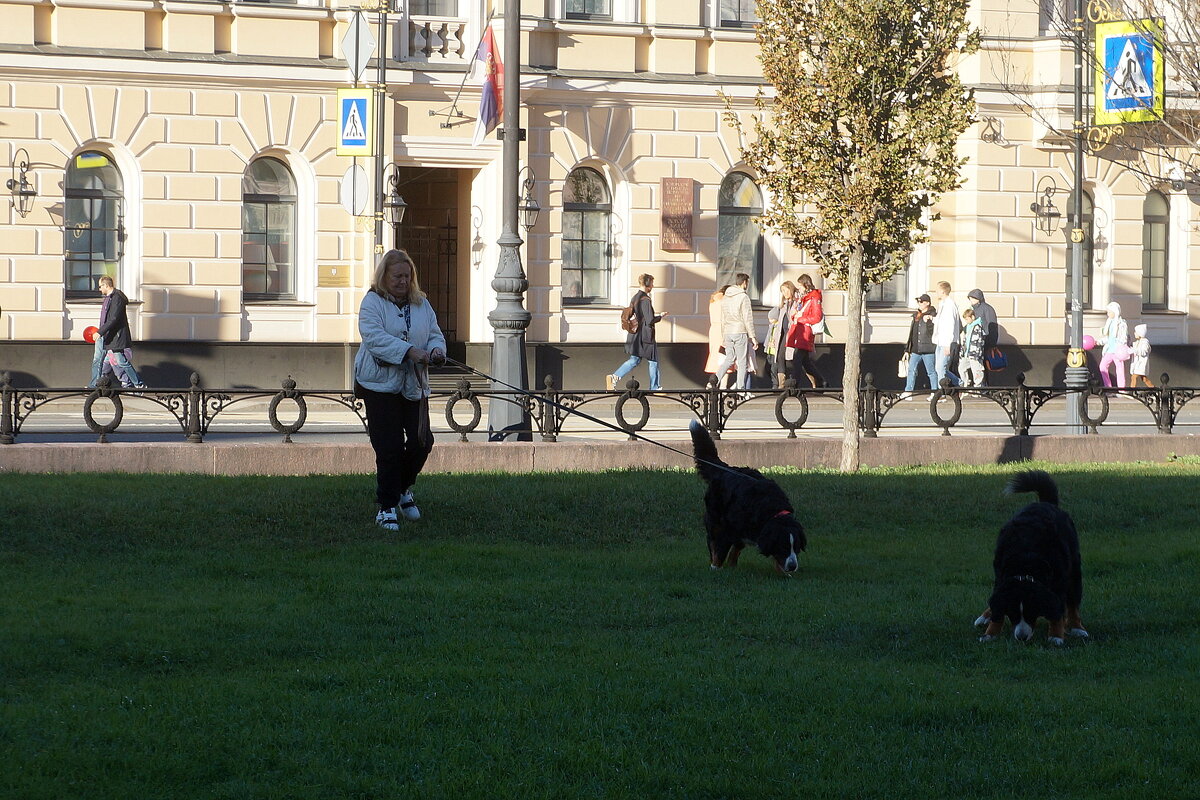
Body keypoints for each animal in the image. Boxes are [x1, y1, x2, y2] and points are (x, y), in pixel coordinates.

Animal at [696, 419, 806, 575]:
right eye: (783, 547)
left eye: (796, 547)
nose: (792, 566)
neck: (771, 511)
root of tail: (726, 469)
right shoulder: (727, 528)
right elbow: (721, 550)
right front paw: (716, 567)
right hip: (715, 518)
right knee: (712, 541)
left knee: (735, 548)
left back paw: (732, 566)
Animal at [974, 472, 1089, 647]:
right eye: (1012, 613)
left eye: (1032, 611)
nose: (1021, 637)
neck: (1025, 562)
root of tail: (1046, 504)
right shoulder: (1000, 575)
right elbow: (998, 607)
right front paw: (990, 633)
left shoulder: (1059, 581)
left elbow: (1058, 609)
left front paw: (1056, 635)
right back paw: (984, 616)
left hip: (1074, 571)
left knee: (1073, 603)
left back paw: (1077, 627)